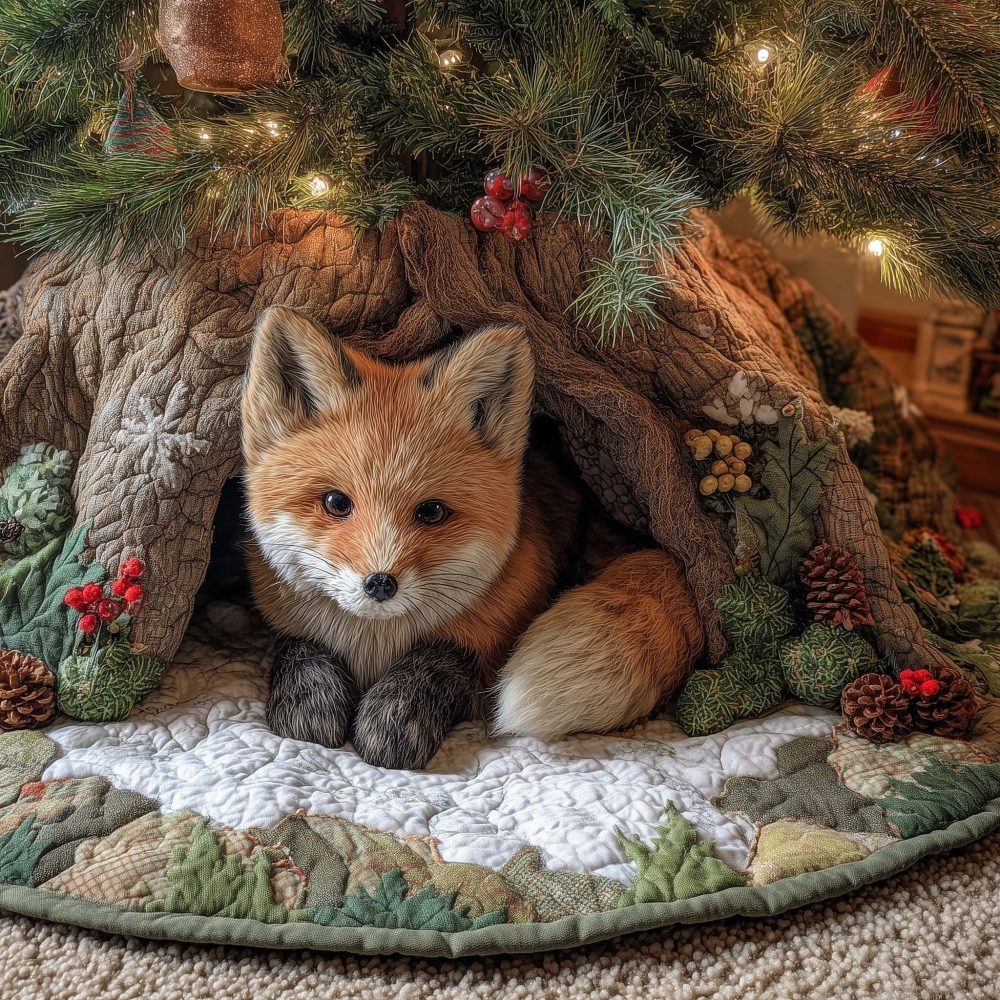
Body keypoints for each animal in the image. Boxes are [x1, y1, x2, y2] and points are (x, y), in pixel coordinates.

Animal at [241, 305, 704, 769]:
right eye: (336, 502)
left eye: (431, 511)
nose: (380, 584)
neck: (375, 647)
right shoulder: (282, 617)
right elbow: (300, 650)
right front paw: (310, 703)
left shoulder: (491, 639)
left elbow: (440, 661)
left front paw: (393, 717)